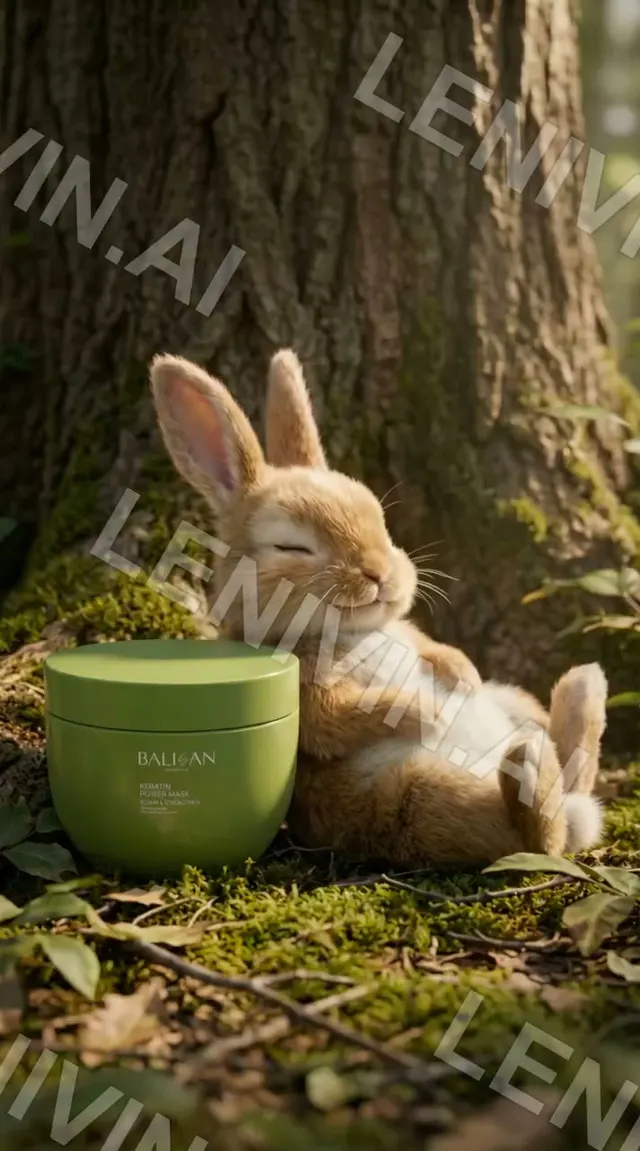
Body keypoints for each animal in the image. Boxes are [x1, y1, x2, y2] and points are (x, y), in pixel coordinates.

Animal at [150, 348, 607, 865]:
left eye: (378, 516)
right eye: (291, 547)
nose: (380, 574)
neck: (351, 634)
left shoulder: (407, 635)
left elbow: (430, 645)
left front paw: (461, 675)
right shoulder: (309, 696)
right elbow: (340, 719)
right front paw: (429, 713)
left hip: (507, 707)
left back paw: (579, 690)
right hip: (416, 798)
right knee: (538, 836)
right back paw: (534, 753)